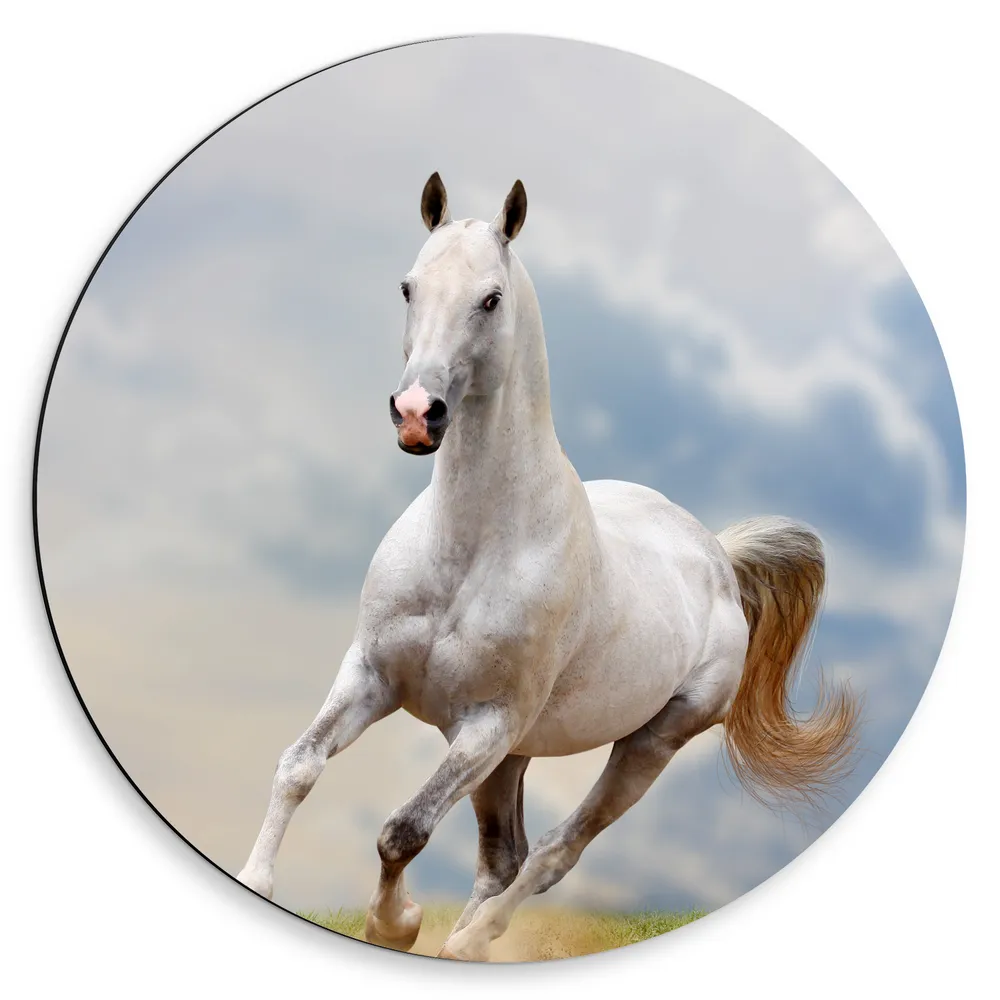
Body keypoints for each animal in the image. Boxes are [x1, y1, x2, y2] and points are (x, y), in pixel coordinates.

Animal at [236, 173, 860, 961]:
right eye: (409, 287)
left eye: (491, 298)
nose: (416, 414)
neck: (469, 551)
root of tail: (716, 554)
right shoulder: (373, 677)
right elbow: (300, 765)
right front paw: (258, 883)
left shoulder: (488, 723)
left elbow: (404, 829)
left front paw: (394, 924)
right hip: (513, 756)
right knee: (505, 854)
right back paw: (466, 939)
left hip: (644, 742)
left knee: (555, 852)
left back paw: (470, 940)